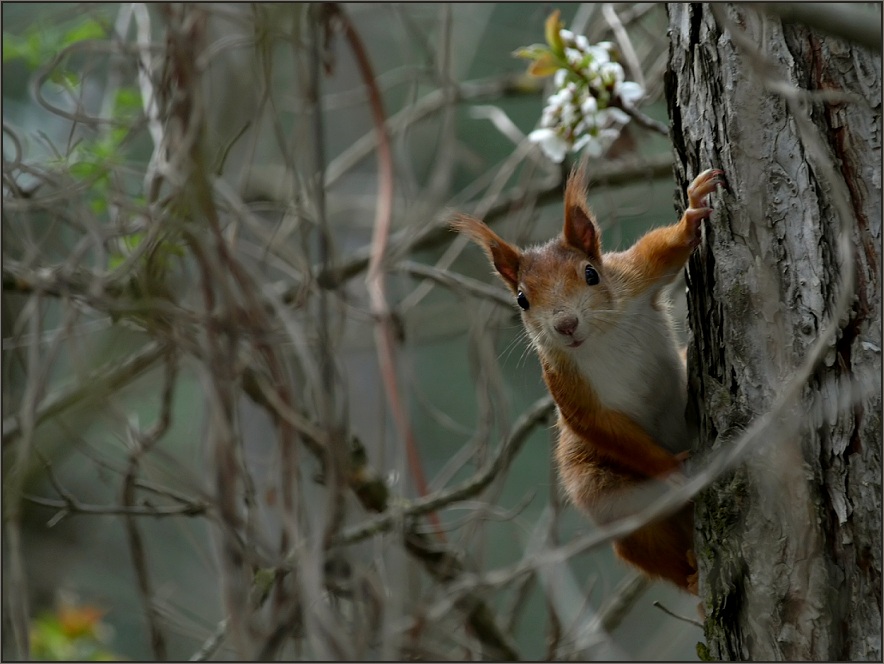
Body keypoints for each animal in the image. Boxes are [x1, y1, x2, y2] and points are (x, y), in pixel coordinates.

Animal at [452, 165, 720, 592]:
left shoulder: (633, 277)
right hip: (599, 487)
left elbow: (664, 250)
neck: (599, 337)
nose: (565, 324)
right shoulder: (565, 385)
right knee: (643, 540)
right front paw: (668, 469)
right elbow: (600, 426)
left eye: (591, 274)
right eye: (522, 300)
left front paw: (692, 211)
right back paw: (691, 574)